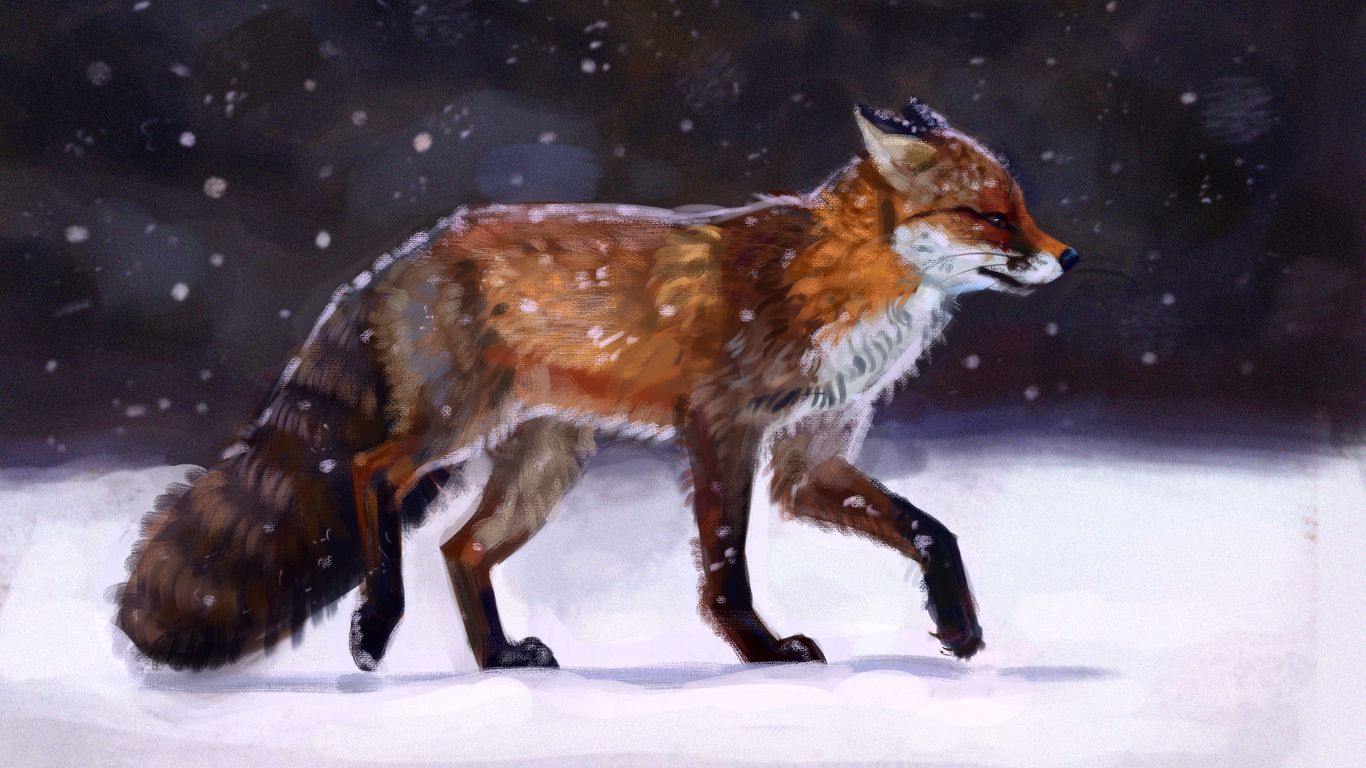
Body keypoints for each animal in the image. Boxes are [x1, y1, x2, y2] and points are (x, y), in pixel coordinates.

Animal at [116, 97, 1078, 672]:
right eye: (991, 216)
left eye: (1021, 208)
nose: (1067, 257)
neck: (839, 279)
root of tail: (398, 258)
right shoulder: (724, 426)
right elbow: (726, 566)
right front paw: (759, 650)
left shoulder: (810, 461)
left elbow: (932, 531)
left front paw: (959, 627)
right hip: (452, 429)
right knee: (369, 473)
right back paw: (376, 622)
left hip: (545, 466)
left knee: (460, 550)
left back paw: (498, 660)